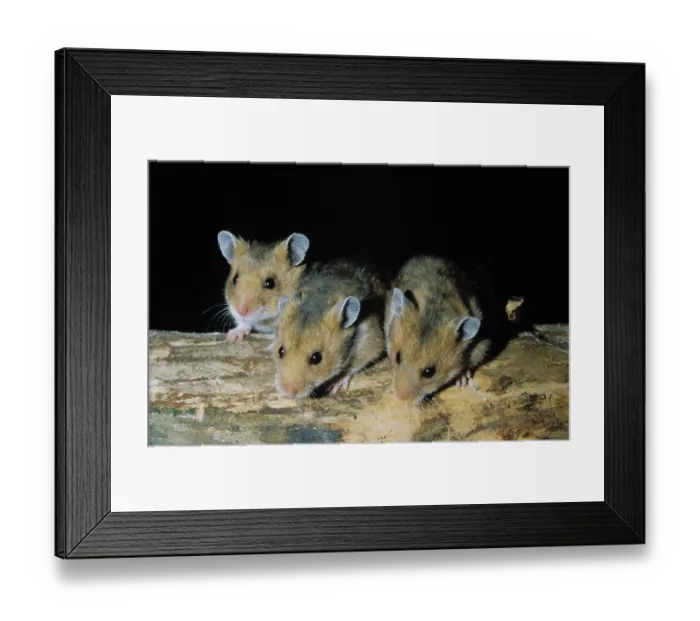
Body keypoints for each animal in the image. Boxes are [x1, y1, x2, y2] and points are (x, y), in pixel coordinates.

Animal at [273, 261, 386, 398]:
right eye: (280, 351)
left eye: (316, 358)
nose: (289, 392)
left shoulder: (371, 343)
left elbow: (352, 367)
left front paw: (335, 385)